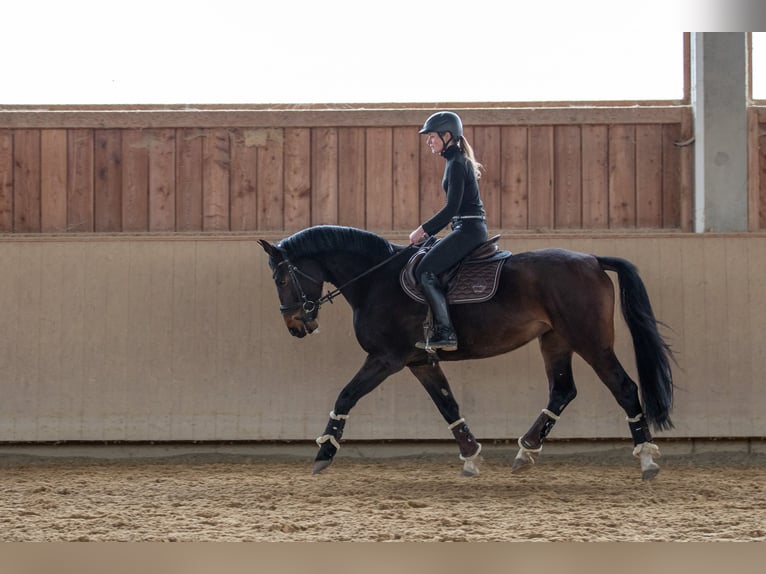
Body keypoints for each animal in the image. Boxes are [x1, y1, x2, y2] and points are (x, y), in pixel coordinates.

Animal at [260, 225, 680, 482]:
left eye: (281, 278)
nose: (295, 325)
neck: (375, 280)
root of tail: (592, 259)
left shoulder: (386, 359)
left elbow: (346, 395)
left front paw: (324, 453)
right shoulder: (419, 361)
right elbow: (448, 405)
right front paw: (471, 456)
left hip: (590, 341)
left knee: (624, 388)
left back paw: (646, 458)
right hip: (555, 341)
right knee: (562, 391)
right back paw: (525, 452)